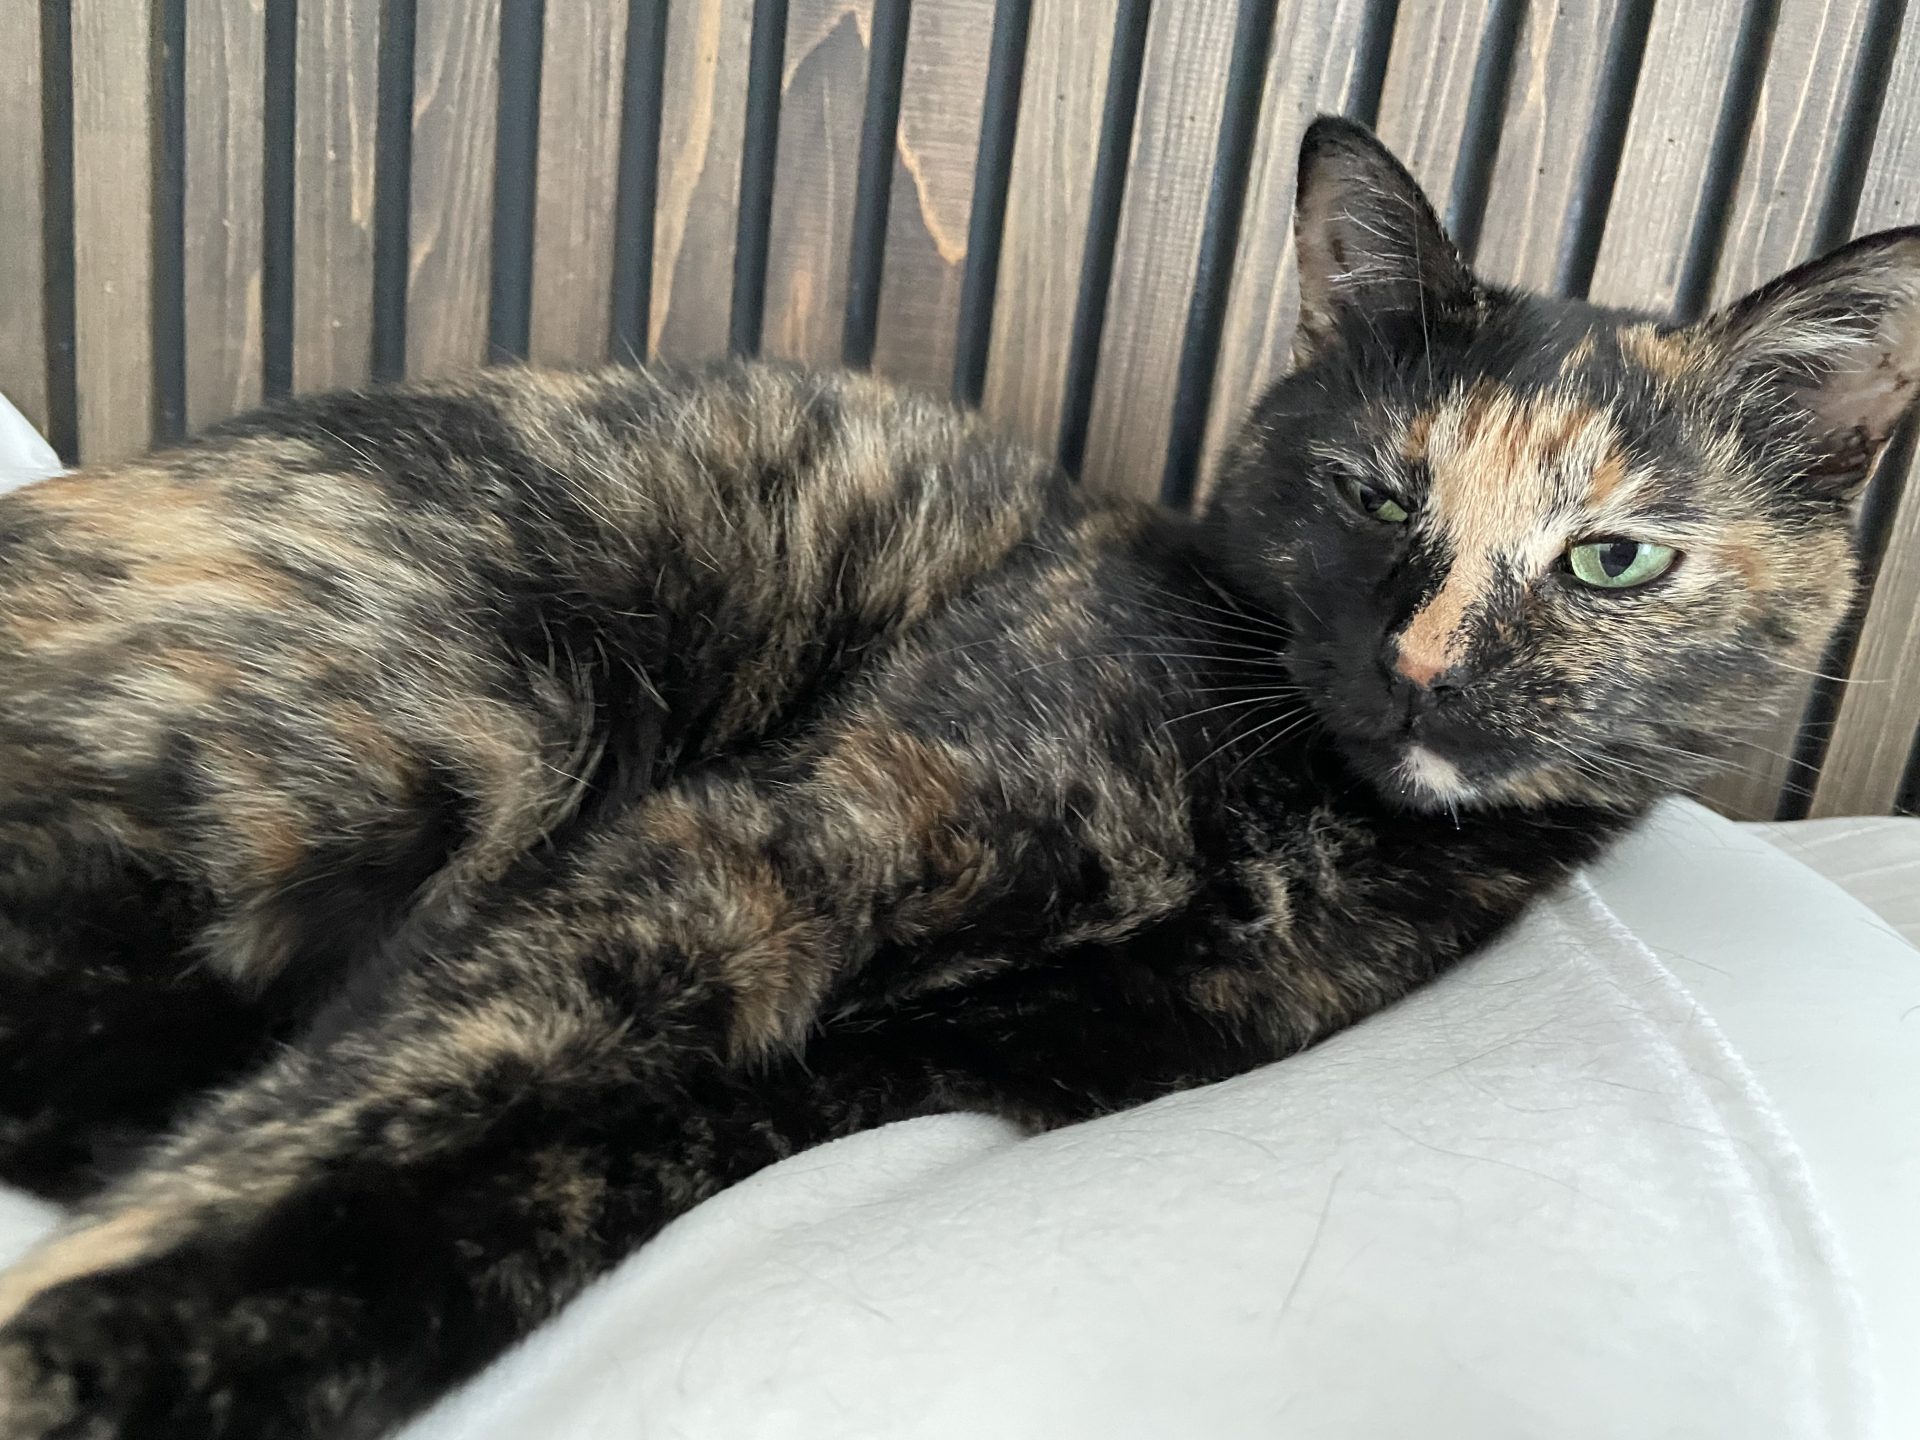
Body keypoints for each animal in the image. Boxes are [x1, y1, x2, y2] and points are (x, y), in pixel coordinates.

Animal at [0, 114, 1913, 1439]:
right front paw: (71, 1345)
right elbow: (386, 1087)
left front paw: (224, 1349)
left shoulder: (876, 1067)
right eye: (1377, 493)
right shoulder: (764, 847)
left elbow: (523, 1198)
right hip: (445, 734)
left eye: (1614, 562)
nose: (1423, 668)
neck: (1316, 821)